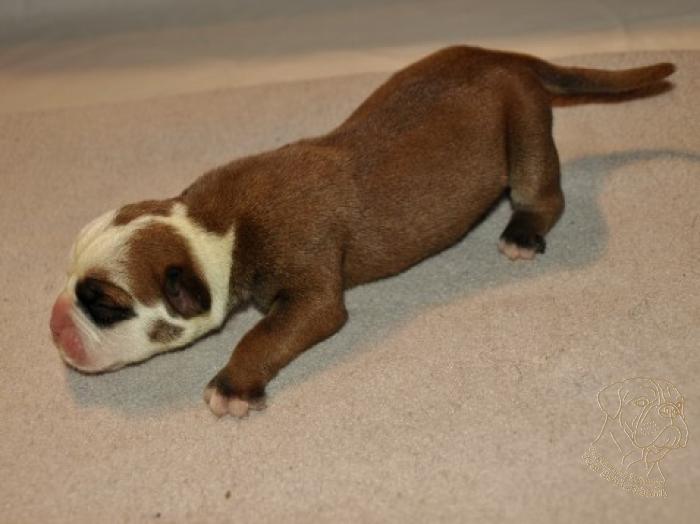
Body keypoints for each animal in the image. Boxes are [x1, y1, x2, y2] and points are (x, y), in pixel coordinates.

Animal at [49, 46, 675, 417]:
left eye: (105, 305)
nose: (54, 327)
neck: (215, 225)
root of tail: (507, 54)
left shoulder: (313, 296)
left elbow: (263, 335)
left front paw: (231, 385)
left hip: (525, 129)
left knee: (545, 193)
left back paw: (522, 233)